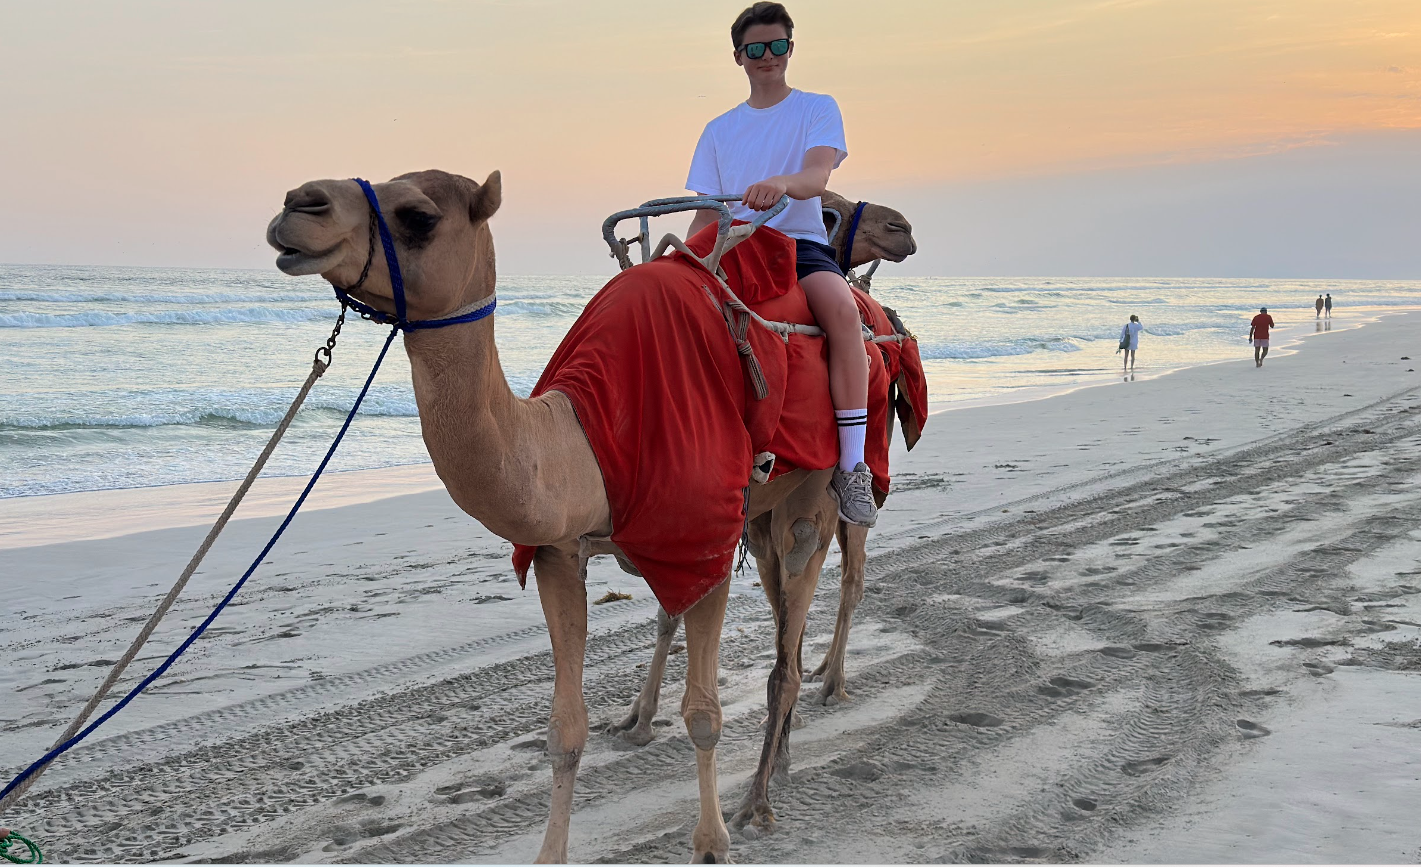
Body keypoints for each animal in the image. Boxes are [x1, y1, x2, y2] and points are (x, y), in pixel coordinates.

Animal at [610, 190, 918, 751]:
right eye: (829, 212)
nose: (900, 229)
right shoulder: (735, 517)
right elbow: (683, 604)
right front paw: (637, 716)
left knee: (853, 575)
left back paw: (832, 679)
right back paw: (816, 671)